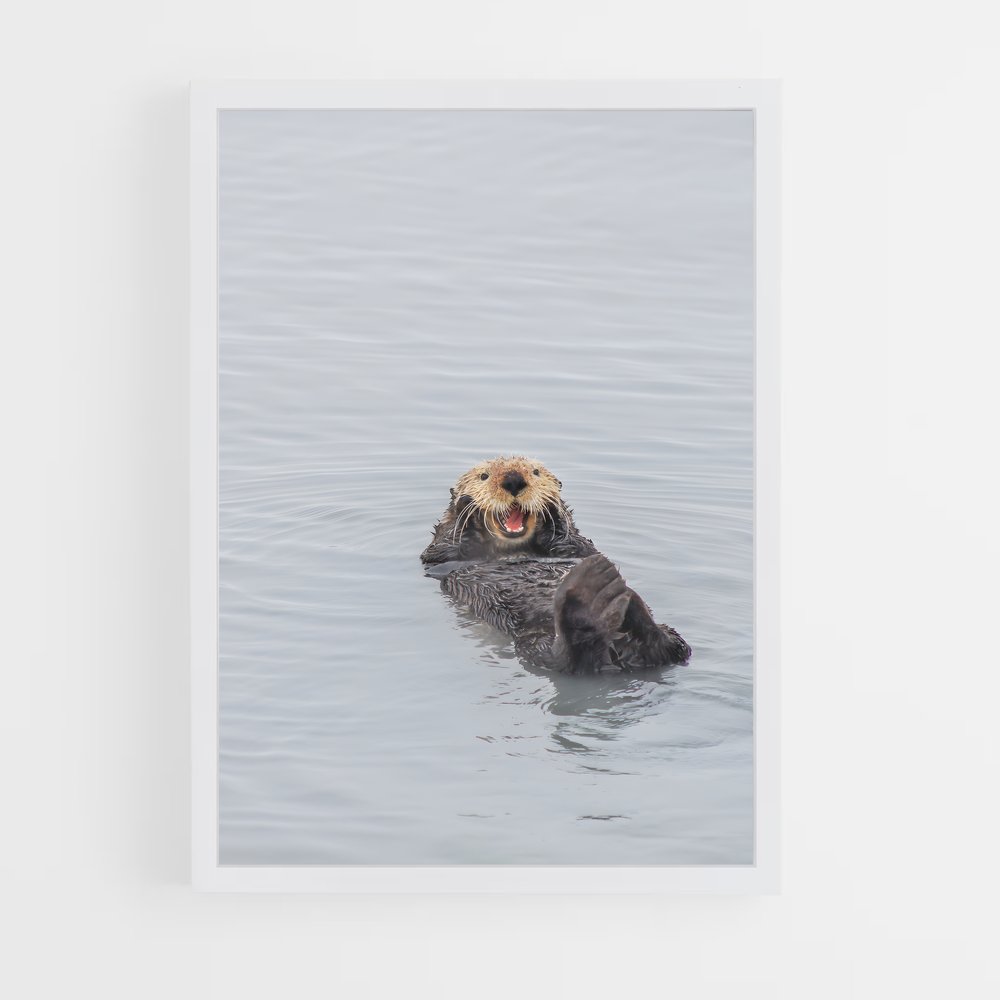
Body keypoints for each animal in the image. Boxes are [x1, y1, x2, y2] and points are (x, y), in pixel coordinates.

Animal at [421, 456, 690, 674]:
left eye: (535, 472)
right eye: (483, 476)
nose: (513, 480)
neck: (513, 549)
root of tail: (617, 652)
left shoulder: (582, 547)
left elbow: (573, 542)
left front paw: (551, 507)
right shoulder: (438, 557)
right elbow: (444, 547)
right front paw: (467, 506)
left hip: (668, 635)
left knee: (674, 647)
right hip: (533, 641)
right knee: (564, 660)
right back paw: (593, 595)